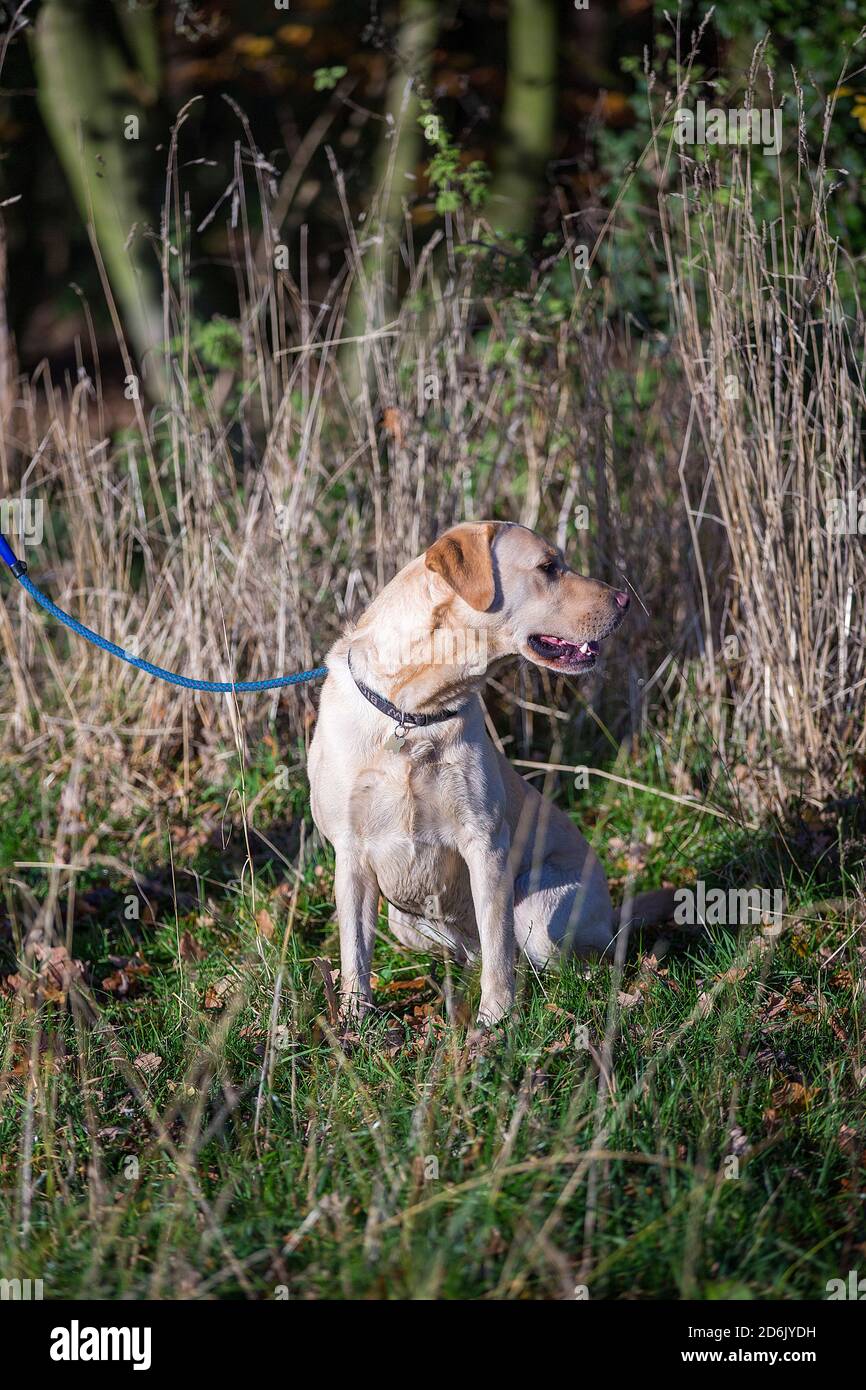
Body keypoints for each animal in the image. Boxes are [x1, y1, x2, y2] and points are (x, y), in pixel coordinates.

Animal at [311, 519, 670, 1023]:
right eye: (549, 567)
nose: (624, 599)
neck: (413, 710)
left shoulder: (485, 843)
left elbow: (499, 944)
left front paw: (497, 1021)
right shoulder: (351, 853)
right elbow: (354, 953)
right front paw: (353, 1021)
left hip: (540, 910)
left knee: (562, 961)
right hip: (401, 920)